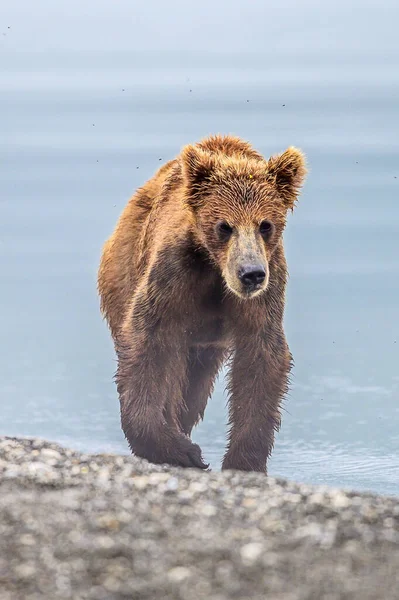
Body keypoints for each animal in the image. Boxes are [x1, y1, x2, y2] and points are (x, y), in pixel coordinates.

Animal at [98, 135, 308, 474]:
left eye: (265, 224)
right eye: (225, 225)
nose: (251, 274)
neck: (215, 269)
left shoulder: (266, 289)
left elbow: (261, 358)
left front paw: (244, 462)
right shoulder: (173, 276)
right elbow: (147, 342)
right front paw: (181, 451)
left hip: (206, 344)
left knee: (194, 386)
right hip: (123, 270)